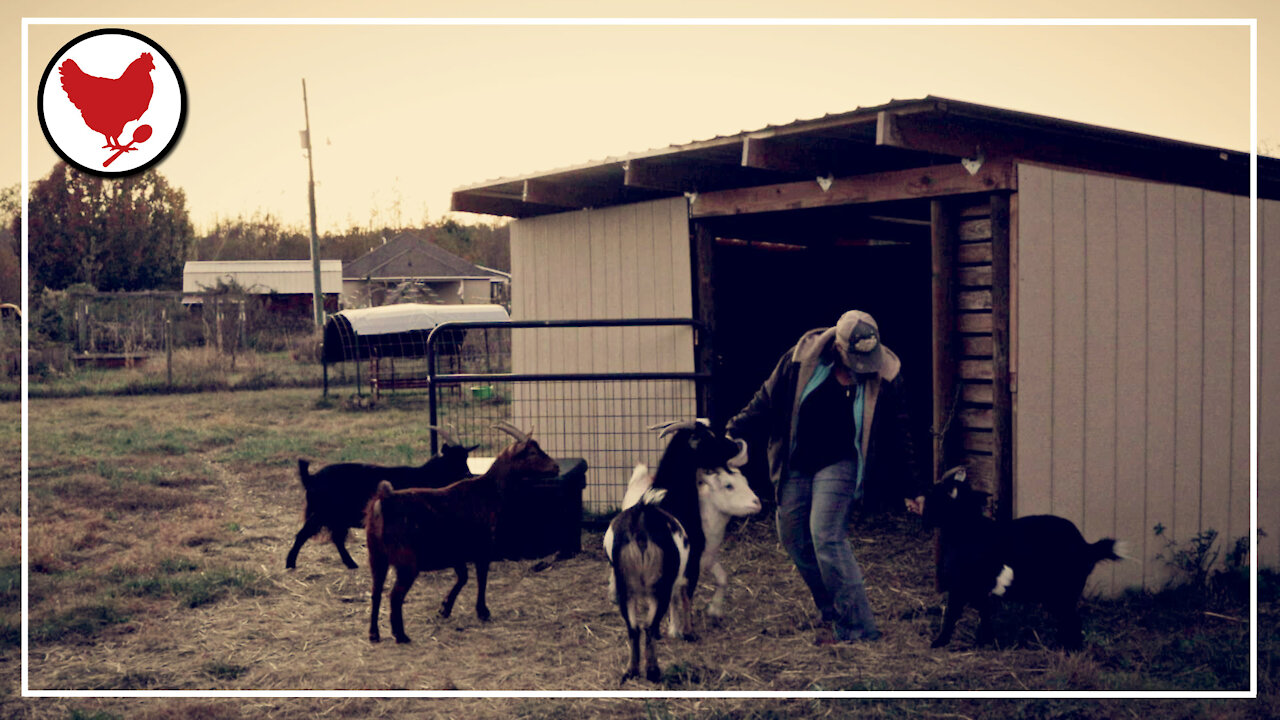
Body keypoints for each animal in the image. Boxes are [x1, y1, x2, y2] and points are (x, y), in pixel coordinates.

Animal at [285, 422, 476, 568]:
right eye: (452, 459)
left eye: (466, 458)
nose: (468, 475)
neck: (425, 475)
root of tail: (311, 478)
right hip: (323, 513)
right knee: (304, 534)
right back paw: (290, 564)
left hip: (338, 517)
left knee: (336, 538)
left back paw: (351, 564)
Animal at [926, 466, 1126, 650]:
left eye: (941, 491)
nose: (961, 469)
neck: (967, 528)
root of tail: (1086, 546)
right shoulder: (978, 590)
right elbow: (984, 614)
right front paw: (984, 641)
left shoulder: (961, 586)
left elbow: (952, 615)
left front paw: (939, 642)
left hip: (1061, 593)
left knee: (1073, 621)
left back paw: (1069, 649)